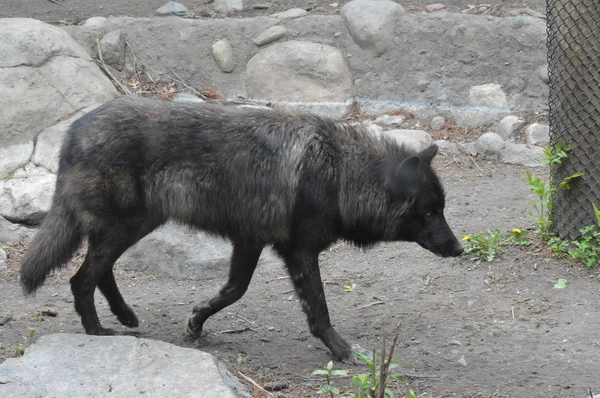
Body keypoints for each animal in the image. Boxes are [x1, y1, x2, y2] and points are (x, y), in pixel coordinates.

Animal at [17, 95, 460, 362]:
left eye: (441, 210)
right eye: (429, 213)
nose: (458, 249)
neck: (339, 174)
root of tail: (73, 133)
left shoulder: (250, 241)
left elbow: (234, 290)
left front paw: (197, 321)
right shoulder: (299, 252)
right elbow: (318, 308)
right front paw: (340, 349)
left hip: (134, 227)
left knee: (98, 272)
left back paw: (125, 316)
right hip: (126, 228)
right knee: (81, 279)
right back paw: (99, 333)